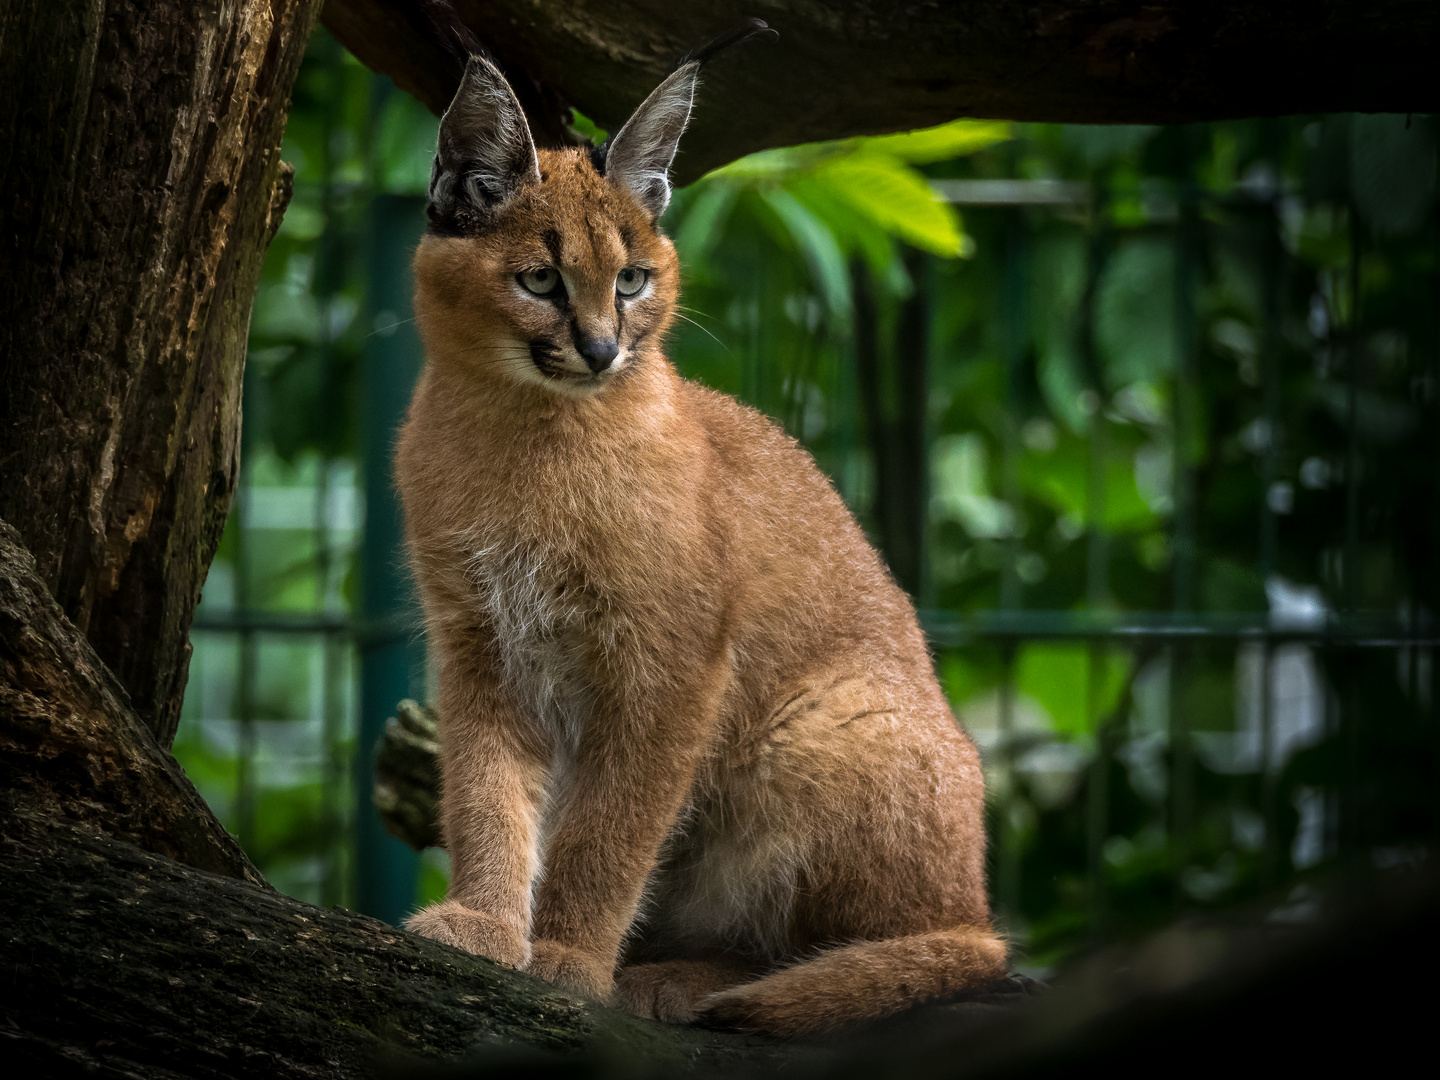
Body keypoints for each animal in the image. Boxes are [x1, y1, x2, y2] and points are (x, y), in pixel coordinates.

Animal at [394, 27, 1002, 1042]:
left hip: (824, 723)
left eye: (633, 280)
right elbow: (484, 790)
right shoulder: (478, 640)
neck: (526, 430)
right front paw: (485, 923)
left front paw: (567, 959)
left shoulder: (672, 662)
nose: (602, 350)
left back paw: (695, 984)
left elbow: (612, 828)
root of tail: (979, 902)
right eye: (539, 279)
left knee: (940, 949)